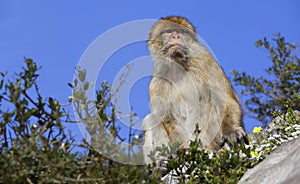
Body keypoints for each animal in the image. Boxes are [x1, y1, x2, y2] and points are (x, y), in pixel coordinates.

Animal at [143, 15, 248, 164]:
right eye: (168, 31)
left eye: (181, 31)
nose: (176, 36)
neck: (178, 67)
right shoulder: (157, 83)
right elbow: (166, 117)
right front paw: (184, 151)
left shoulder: (206, 62)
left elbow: (224, 100)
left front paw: (231, 131)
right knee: (152, 118)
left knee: (206, 103)